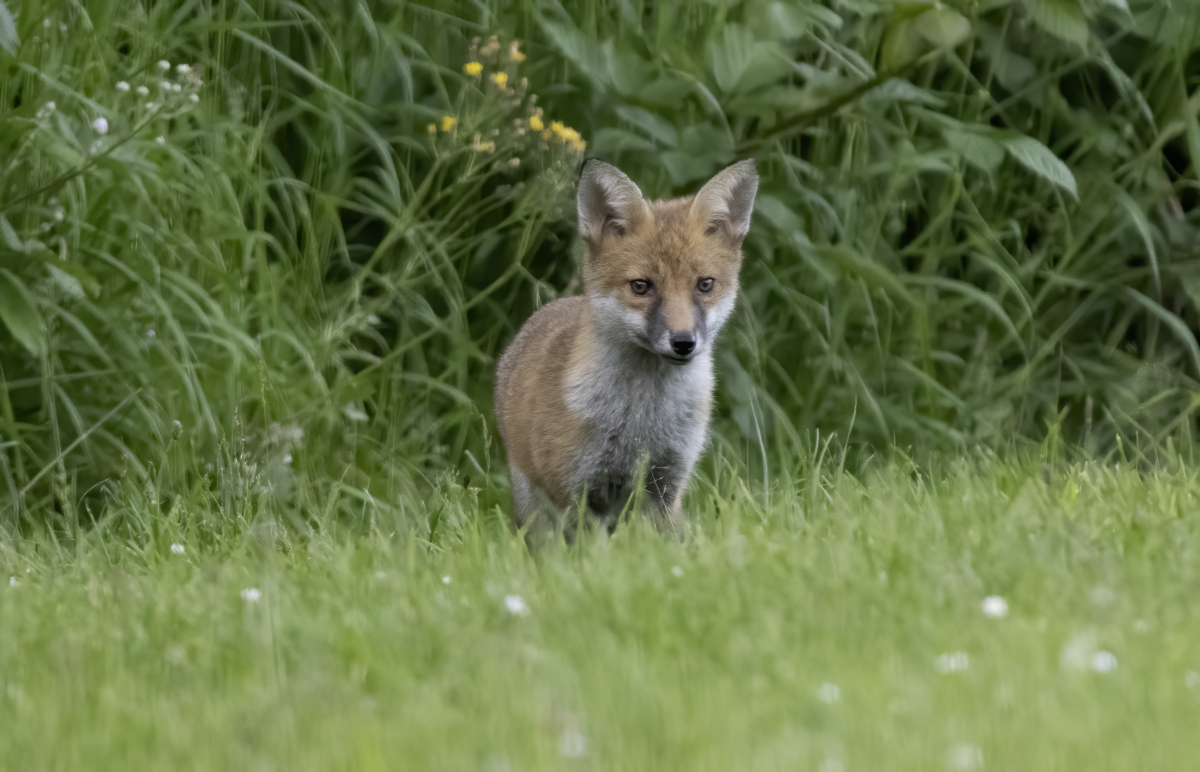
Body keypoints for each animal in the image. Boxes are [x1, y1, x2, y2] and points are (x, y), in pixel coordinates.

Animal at [489, 159, 753, 540]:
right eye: (641, 286)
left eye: (705, 285)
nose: (683, 342)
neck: (643, 420)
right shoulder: (580, 492)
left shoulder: (666, 486)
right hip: (537, 513)